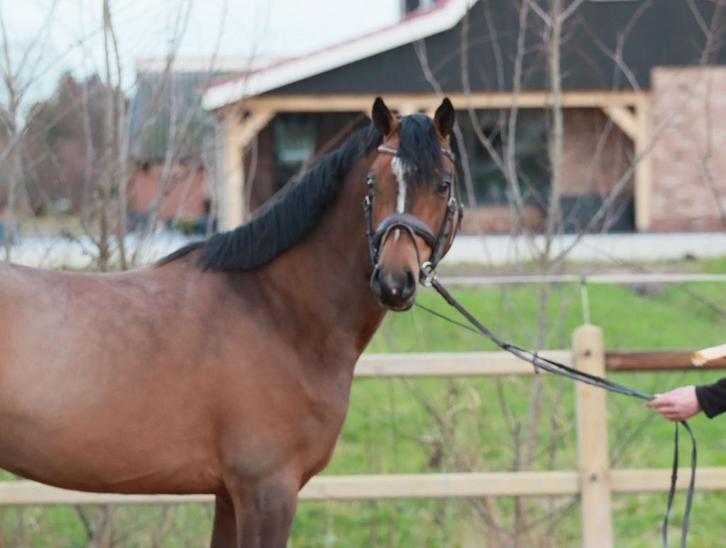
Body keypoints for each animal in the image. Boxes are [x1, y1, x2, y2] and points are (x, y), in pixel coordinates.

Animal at [0, 97, 460, 547]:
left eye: (443, 185)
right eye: (372, 184)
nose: (395, 282)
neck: (275, 312)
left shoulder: (228, 495)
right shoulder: (267, 490)